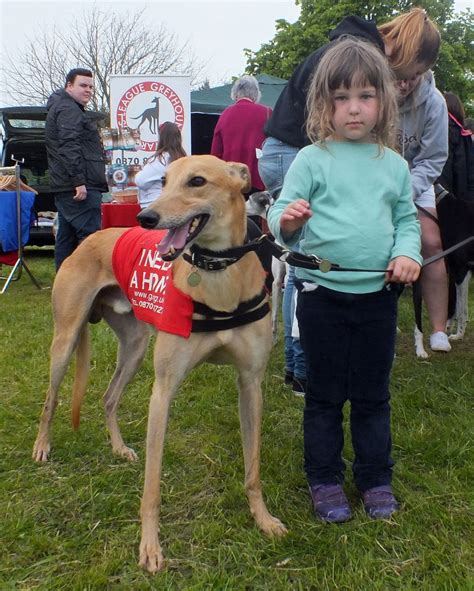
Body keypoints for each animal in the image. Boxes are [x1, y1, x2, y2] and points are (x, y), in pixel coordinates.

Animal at [33, 156, 286, 572]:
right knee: (51, 400)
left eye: (197, 181)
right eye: (163, 181)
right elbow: (151, 486)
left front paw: (263, 519)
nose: (146, 217)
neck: (218, 277)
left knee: (108, 398)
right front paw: (150, 547)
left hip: (134, 347)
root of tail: (90, 238)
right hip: (65, 339)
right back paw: (42, 446)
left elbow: (253, 467)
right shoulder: (163, 390)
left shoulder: (251, 383)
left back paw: (119, 448)